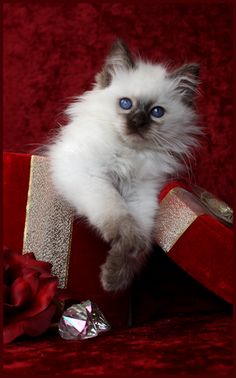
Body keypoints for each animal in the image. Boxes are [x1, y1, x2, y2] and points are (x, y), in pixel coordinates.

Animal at [47, 39, 201, 292]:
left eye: (157, 112)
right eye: (126, 104)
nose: (138, 122)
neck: (130, 154)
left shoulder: (142, 195)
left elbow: (143, 238)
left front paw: (114, 278)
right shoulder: (88, 174)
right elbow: (117, 212)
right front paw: (127, 242)